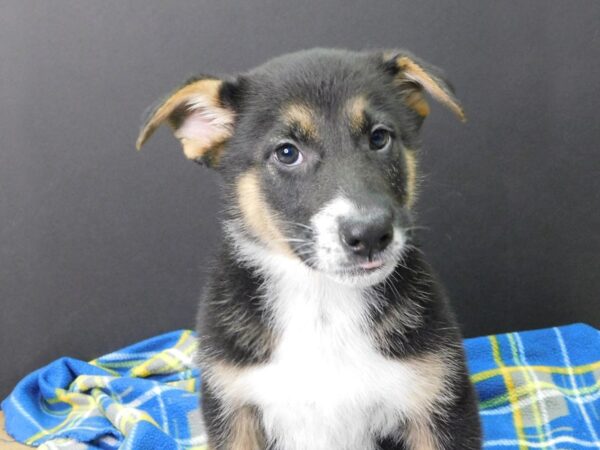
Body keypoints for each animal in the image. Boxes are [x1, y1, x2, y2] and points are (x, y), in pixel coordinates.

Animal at [137, 48, 482, 450]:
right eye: (287, 152)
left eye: (380, 138)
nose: (370, 235)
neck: (323, 300)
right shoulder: (234, 409)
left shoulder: (438, 400)